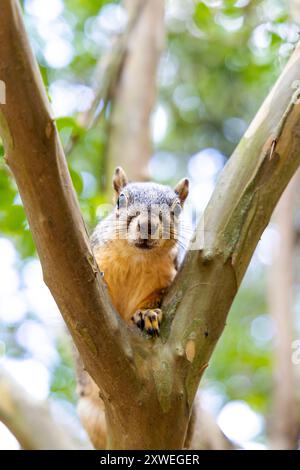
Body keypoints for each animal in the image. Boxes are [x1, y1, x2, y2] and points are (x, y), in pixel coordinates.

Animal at [77, 168, 190, 448]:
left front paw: (147, 314)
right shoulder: (99, 253)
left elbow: (154, 301)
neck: (137, 259)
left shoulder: (165, 280)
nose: (147, 226)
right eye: (120, 200)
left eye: (177, 209)